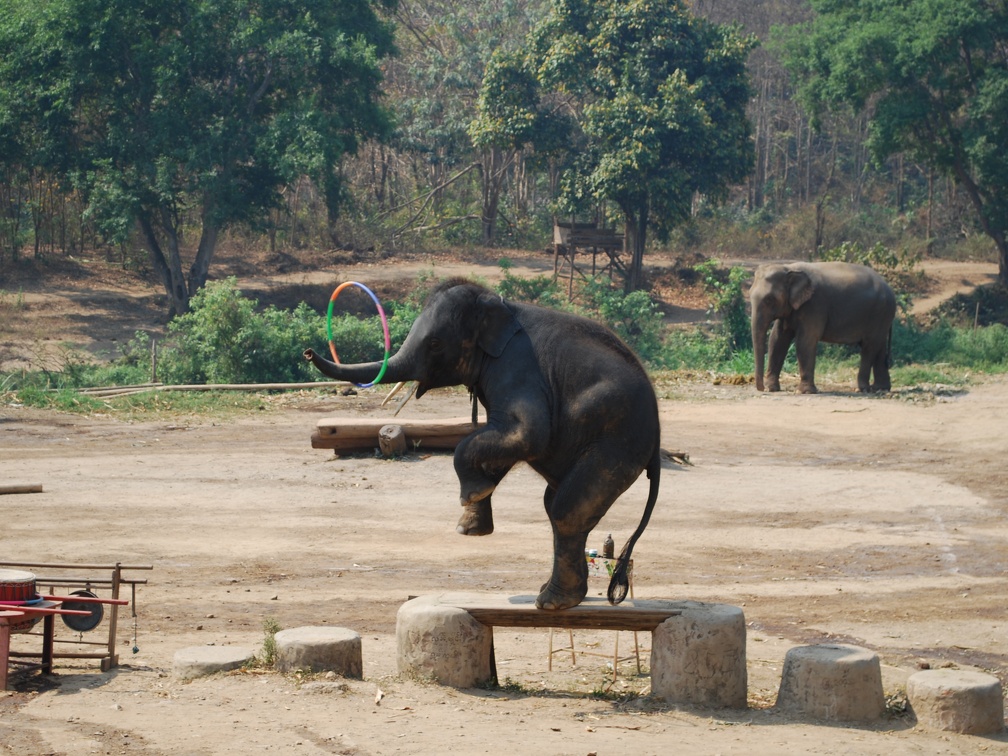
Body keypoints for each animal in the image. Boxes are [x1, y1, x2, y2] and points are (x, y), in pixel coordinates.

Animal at [749, 262, 899, 397]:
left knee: (869, 346)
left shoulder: (815, 304)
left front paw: (804, 392)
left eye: (769, 299)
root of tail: (890, 289)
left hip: (880, 313)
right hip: (882, 317)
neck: (788, 268)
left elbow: (805, 341)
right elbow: (777, 339)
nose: (761, 389)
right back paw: (880, 388)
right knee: (879, 347)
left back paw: (861, 389)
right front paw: (772, 389)